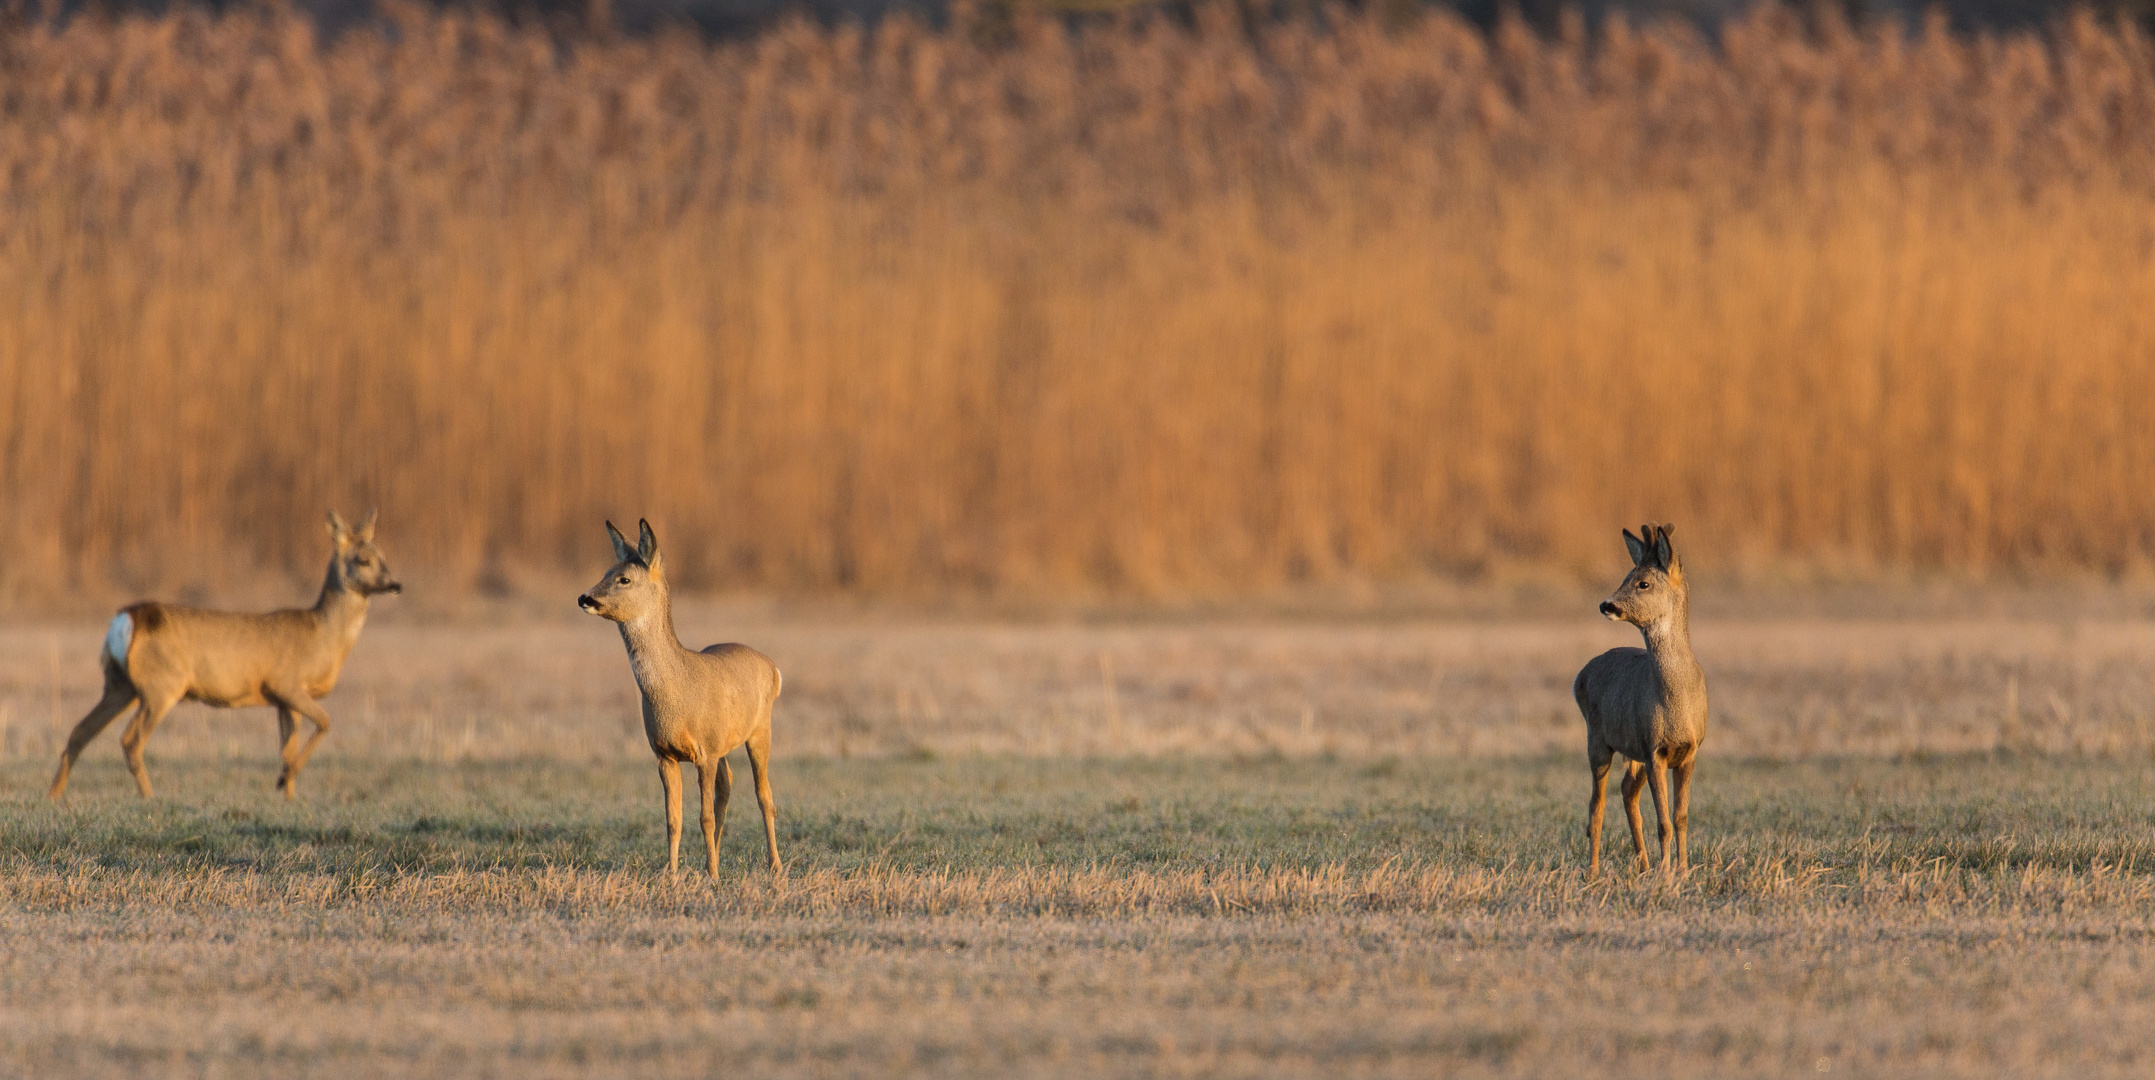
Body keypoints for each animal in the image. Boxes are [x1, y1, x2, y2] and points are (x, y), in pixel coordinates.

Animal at [49, 506, 405, 801]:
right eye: (363, 560)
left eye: (384, 555)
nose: (395, 584)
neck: (323, 636)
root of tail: (127, 618)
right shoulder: (285, 683)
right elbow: (325, 722)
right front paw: (283, 783)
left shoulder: (283, 700)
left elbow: (287, 749)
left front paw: (288, 794)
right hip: (161, 685)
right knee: (130, 740)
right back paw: (149, 797)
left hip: (121, 685)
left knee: (80, 732)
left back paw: (54, 796)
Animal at [573, 519, 784, 875]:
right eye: (606, 571)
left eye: (624, 579)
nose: (584, 598)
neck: (677, 691)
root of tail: (773, 667)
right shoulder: (665, 753)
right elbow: (674, 820)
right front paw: (671, 875)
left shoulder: (705, 751)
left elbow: (705, 817)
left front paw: (712, 877)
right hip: (725, 744)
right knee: (727, 786)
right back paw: (715, 858)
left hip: (760, 730)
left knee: (763, 795)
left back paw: (774, 867)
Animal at [1577, 521, 1706, 875]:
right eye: (1626, 576)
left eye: (1643, 582)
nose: (1607, 605)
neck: (1676, 699)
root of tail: (1581, 675)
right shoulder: (1654, 749)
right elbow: (1663, 822)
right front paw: (1667, 873)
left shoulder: (1688, 751)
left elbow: (1681, 817)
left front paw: (1682, 870)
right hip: (1598, 739)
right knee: (1596, 805)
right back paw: (1594, 871)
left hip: (1631, 749)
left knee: (1626, 792)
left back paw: (1643, 865)